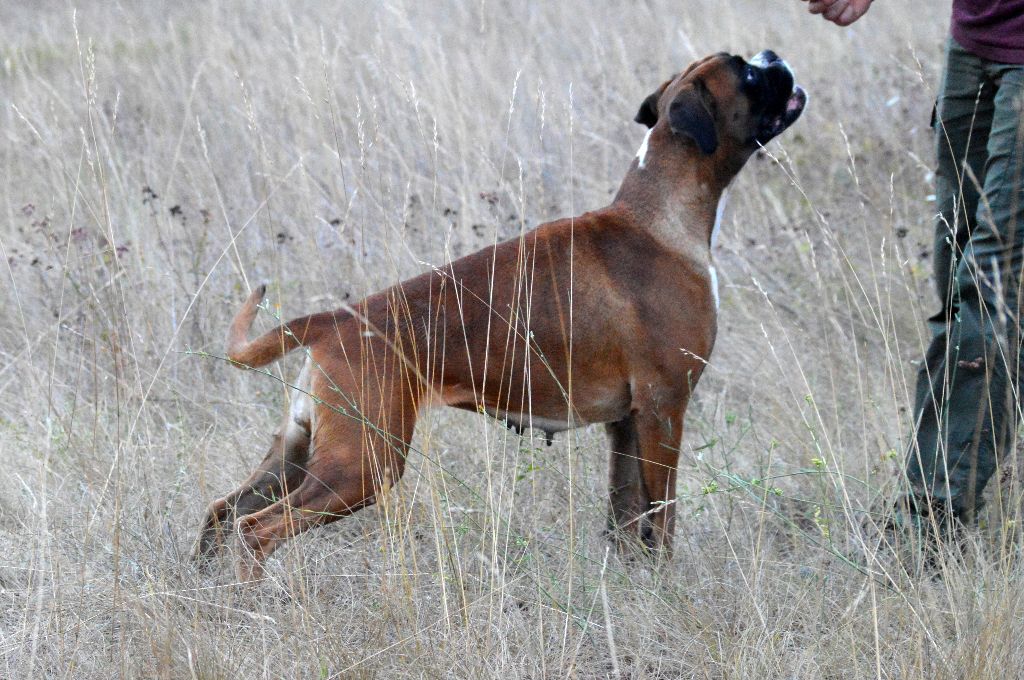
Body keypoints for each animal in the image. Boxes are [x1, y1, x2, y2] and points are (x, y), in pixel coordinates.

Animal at [195, 50, 802, 577]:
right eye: (747, 73)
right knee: (258, 530)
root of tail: (333, 320)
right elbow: (663, 518)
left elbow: (628, 519)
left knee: (222, 513)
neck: (659, 215)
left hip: (299, 457)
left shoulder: (628, 424)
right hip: (360, 467)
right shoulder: (664, 410)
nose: (774, 55)